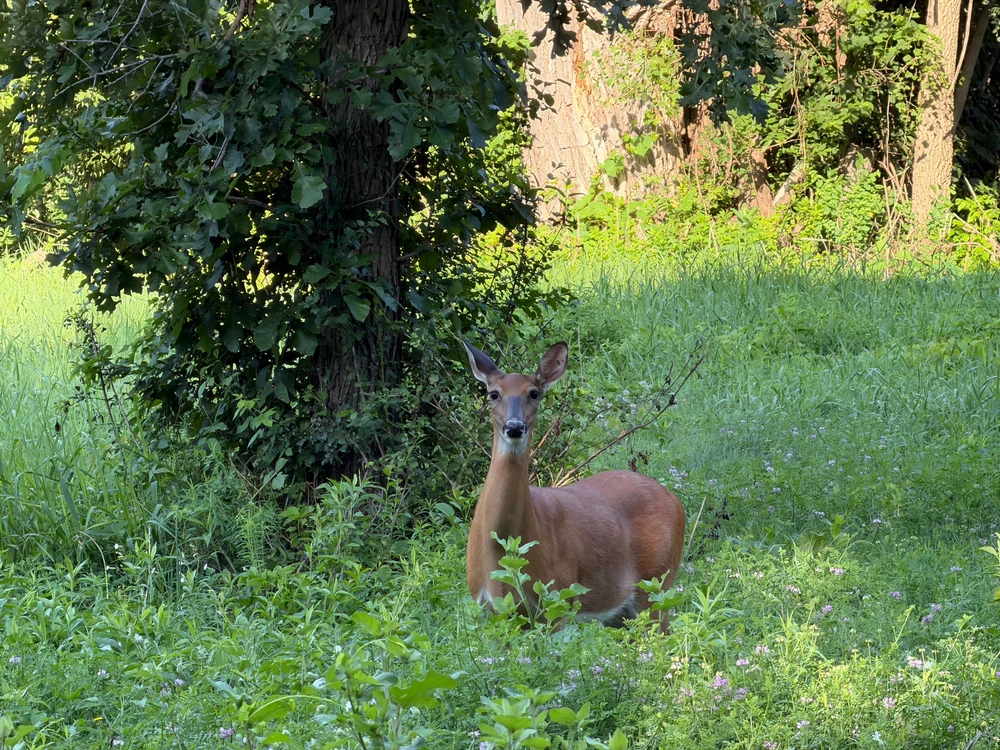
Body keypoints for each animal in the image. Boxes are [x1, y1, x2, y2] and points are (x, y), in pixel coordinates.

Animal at [462, 340, 686, 631]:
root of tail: (676, 501)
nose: (514, 427)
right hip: (622, 612)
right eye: (493, 394)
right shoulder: (487, 608)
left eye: (534, 393)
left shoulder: (558, 596)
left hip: (658, 583)